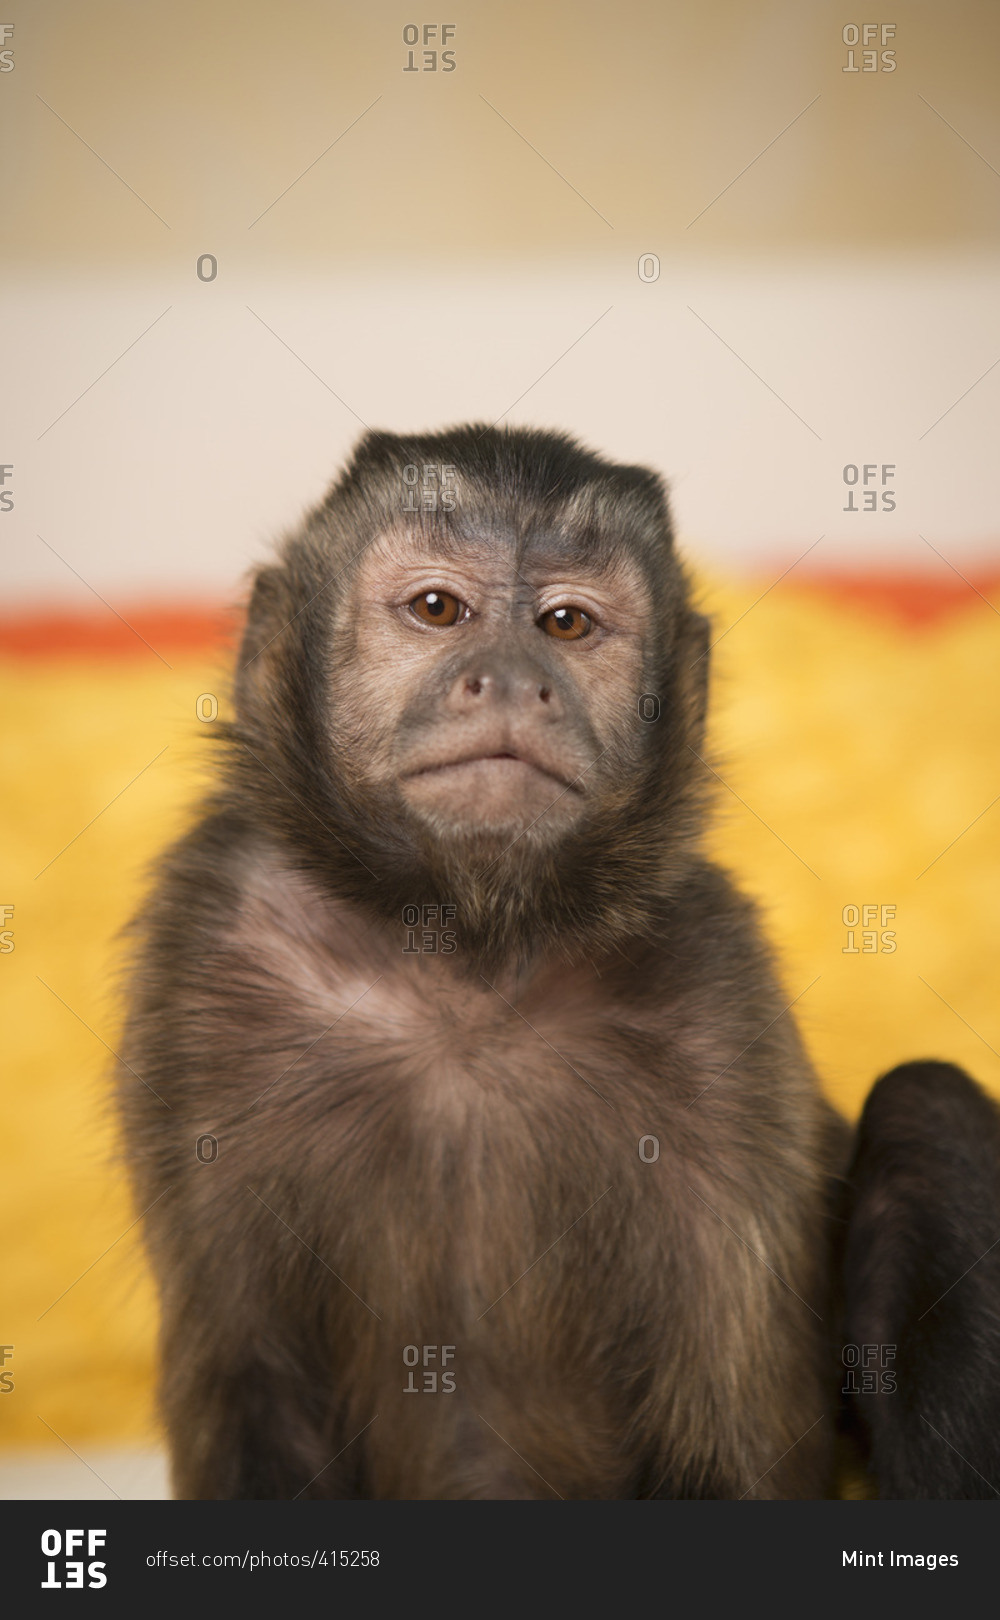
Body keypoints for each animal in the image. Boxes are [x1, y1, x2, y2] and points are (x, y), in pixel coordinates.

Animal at [119, 424, 998, 1496]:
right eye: (438, 610)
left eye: (567, 624)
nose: (508, 678)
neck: (465, 957)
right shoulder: (208, 948)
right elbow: (256, 1391)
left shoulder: (719, 991)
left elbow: (734, 1434)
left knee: (929, 1102)